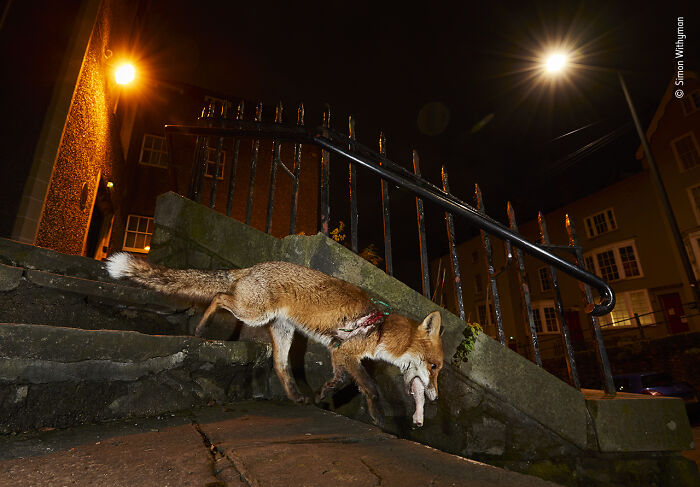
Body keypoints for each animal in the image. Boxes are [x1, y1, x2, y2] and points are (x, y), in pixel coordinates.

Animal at [105, 254, 443, 427]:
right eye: (435, 367)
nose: (436, 398)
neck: (380, 330)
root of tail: (250, 267)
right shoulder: (348, 353)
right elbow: (370, 387)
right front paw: (377, 416)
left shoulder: (338, 354)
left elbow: (341, 381)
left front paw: (322, 394)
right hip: (253, 313)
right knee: (218, 296)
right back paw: (202, 328)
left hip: (282, 332)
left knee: (281, 367)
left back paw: (296, 396)